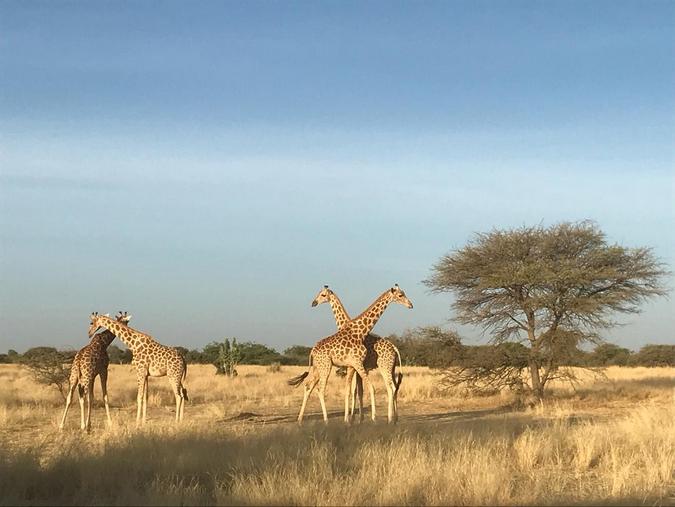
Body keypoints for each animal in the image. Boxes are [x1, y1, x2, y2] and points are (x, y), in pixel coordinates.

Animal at [286, 286, 412, 424]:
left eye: (323, 295)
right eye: (400, 295)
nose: (410, 305)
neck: (358, 330)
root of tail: (394, 347)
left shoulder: (354, 365)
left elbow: (354, 391)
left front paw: (354, 419)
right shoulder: (354, 365)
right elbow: (358, 391)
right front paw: (356, 419)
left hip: (385, 366)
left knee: (392, 388)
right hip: (327, 367)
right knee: (317, 388)